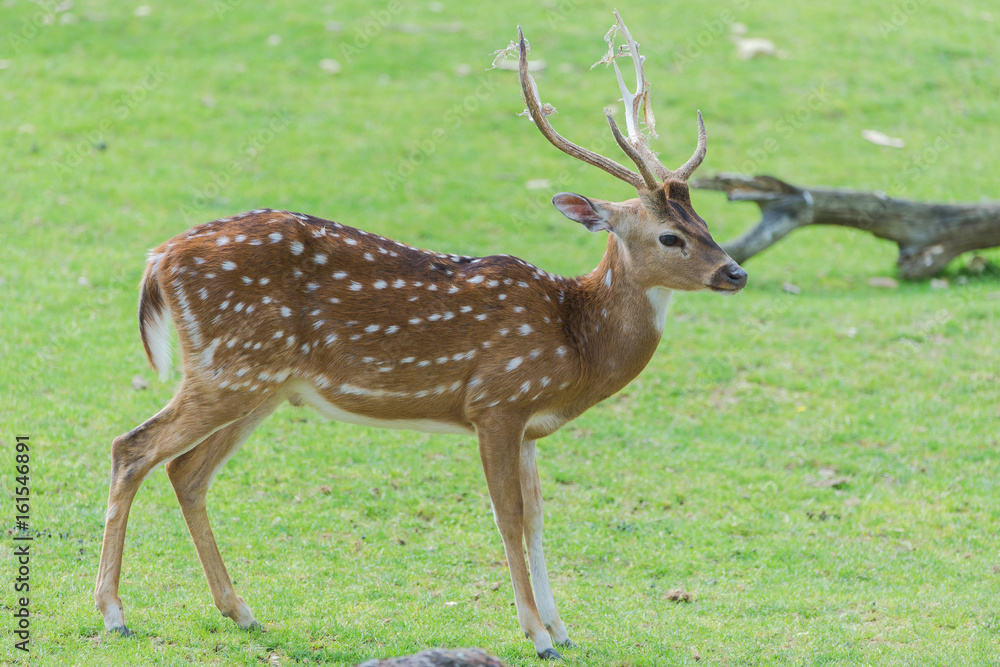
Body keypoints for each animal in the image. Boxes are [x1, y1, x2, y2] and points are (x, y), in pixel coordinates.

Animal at [97, 10, 748, 664]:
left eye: (705, 221)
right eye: (669, 236)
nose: (735, 272)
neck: (575, 342)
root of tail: (158, 259)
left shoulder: (529, 424)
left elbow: (539, 518)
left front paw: (562, 629)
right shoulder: (496, 400)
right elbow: (508, 517)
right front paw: (537, 634)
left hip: (261, 385)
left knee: (187, 472)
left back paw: (241, 611)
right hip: (228, 368)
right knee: (133, 448)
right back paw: (113, 613)